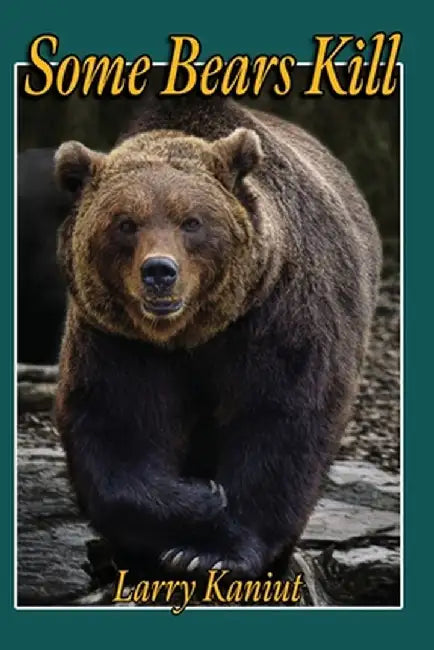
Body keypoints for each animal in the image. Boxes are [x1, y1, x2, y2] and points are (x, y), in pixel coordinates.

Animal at [54, 96, 382, 580]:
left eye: (191, 221)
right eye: (125, 223)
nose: (159, 272)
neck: (191, 332)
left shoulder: (278, 316)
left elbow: (280, 417)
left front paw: (213, 551)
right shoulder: (118, 338)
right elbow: (116, 424)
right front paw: (201, 502)